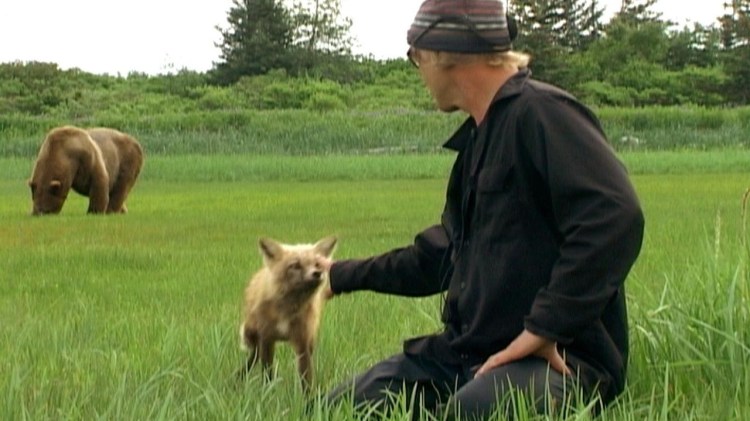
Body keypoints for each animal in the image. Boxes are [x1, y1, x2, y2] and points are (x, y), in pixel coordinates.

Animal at [238, 236, 338, 393]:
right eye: (295, 265)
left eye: (317, 264)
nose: (317, 273)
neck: (287, 311)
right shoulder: (266, 339)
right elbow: (267, 375)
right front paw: (267, 393)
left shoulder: (303, 343)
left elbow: (306, 381)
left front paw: (310, 399)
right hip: (252, 336)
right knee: (252, 359)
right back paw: (237, 379)